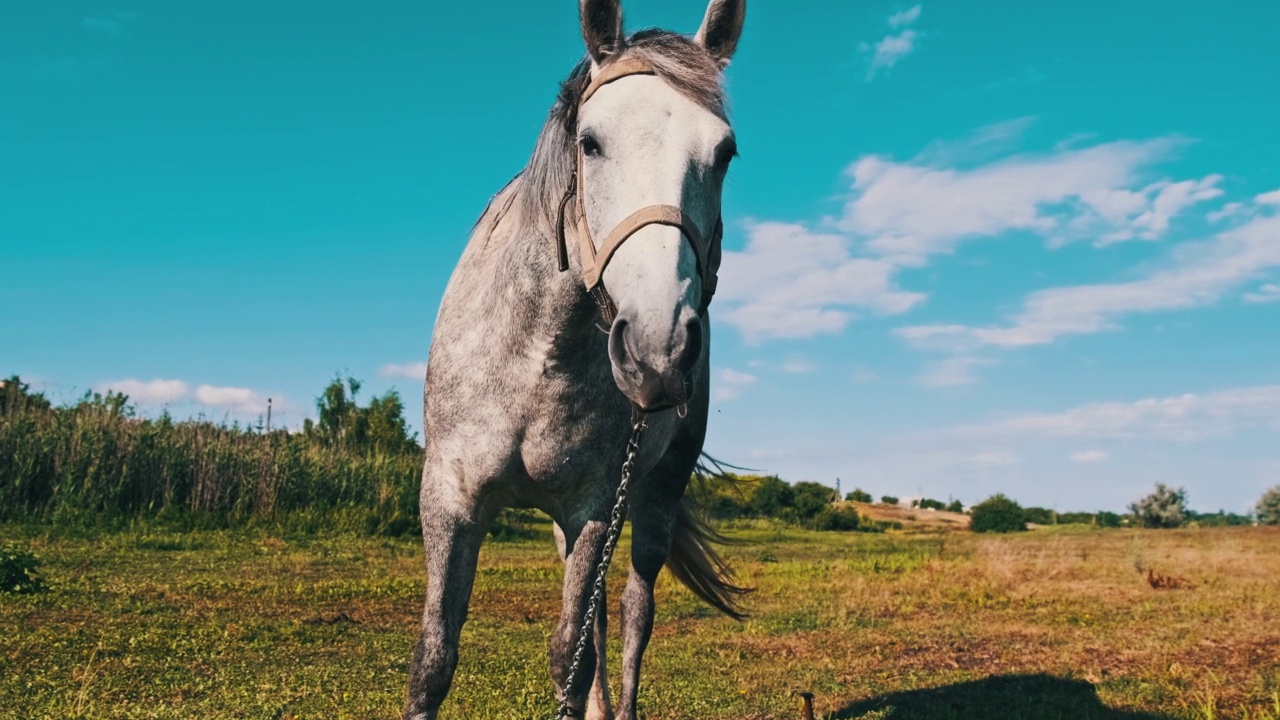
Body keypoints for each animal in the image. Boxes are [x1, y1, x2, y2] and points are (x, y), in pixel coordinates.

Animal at [404, 2, 747, 712]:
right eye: (590, 142)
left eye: (725, 155)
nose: (659, 346)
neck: (536, 355)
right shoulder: (449, 499)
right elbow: (434, 660)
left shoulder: (593, 506)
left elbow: (572, 655)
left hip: (654, 498)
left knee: (633, 617)